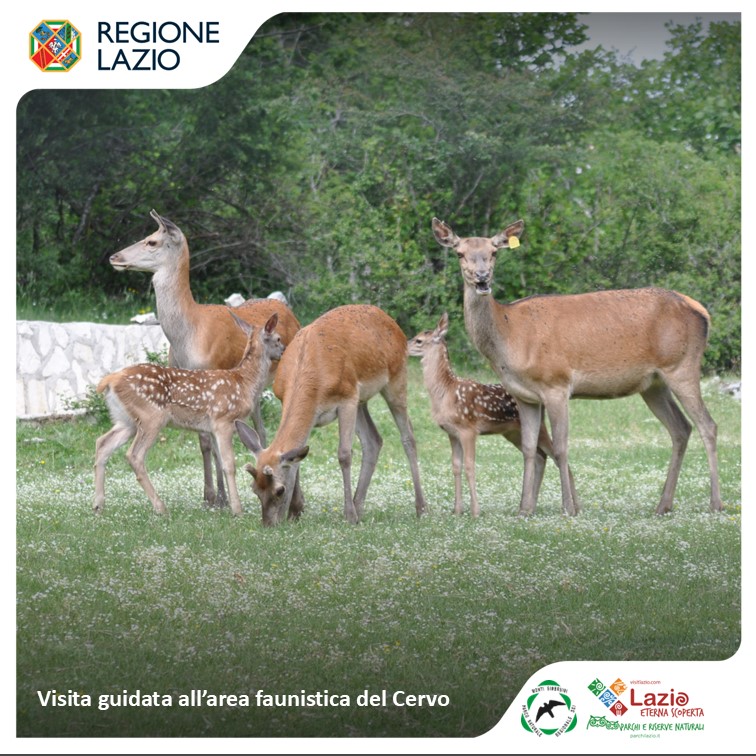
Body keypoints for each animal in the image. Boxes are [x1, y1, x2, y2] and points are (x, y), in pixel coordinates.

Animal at [93, 312, 285, 516]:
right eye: (278, 338)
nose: (283, 350)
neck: (245, 383)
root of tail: (110, 380)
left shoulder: (212, 428)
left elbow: (219, 461)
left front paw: (224, 502)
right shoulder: (223, 420)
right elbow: (229, 465)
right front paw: (237, 510)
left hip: (126, 420)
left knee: (102, 443)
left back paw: (98, 506)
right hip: (151, 417)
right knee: (134, 455)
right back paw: (160, 507)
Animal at [108, 209, 301, 509]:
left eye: (152, 241)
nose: (114, 257)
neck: (187, 336)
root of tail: (288, 310)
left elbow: (216, 443)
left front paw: (220, 497)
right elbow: (205, 442)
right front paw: (211, 496)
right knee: (260, 429)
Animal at [234, 304, 428, 526]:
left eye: (279, 490)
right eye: (254, 489)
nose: (268, 523)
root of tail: (392, 322)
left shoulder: (346, 399)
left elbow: (344, 454)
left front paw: (348, 516)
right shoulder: (292, 402)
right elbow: (297, 458)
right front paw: (294, 512)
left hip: (395, 379)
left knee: (408, 437)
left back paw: (421, 508)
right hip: (361, 400)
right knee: (373, 440)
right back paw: (359, 506)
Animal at [408, 312, 577, 517]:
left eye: (419, 340)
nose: (404, 346)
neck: (446, 392)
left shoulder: (468, 429)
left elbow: (469, 466)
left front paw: (475, 511)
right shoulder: (452, 433)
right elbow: (456, 466)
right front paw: (457, 511)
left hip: (537, 427)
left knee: (557, 455)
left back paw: (575, 508)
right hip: (513, 432)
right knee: (540, 457)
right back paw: (531, 507)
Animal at [433, 216, 722, 517]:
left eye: (494, 252)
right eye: (459, 253)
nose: (482, 278)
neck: (509, 336)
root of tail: (703, 312)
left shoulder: (556, 384)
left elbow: (561, 448)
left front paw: (568, 508)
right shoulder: (524, 396)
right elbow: (528, 448)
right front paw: (524, 509)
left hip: (681, 365)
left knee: (708, 425)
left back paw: (715, 503)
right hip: (653, 384)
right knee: (681, 429)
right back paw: (663, 505)